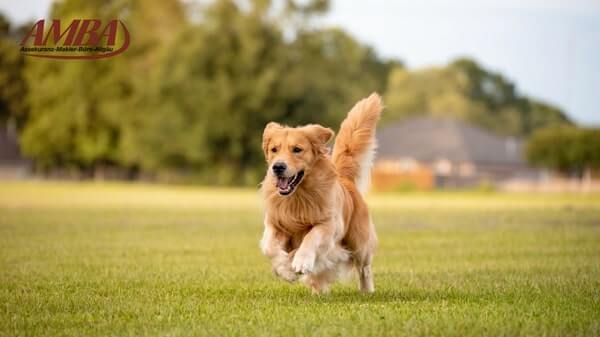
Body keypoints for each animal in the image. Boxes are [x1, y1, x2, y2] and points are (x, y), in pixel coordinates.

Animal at [258, 92, 382, 292]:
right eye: (274, 149)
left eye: (297, 149)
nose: (277, 167)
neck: (298, 196)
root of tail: (346, 180)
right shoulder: (275, 223)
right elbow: (269, 247)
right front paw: (285, 269)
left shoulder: (329, 224)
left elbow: (311, 236)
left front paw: (301, 261)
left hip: (359, 243)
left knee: (365, 268)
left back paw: (367, 291)